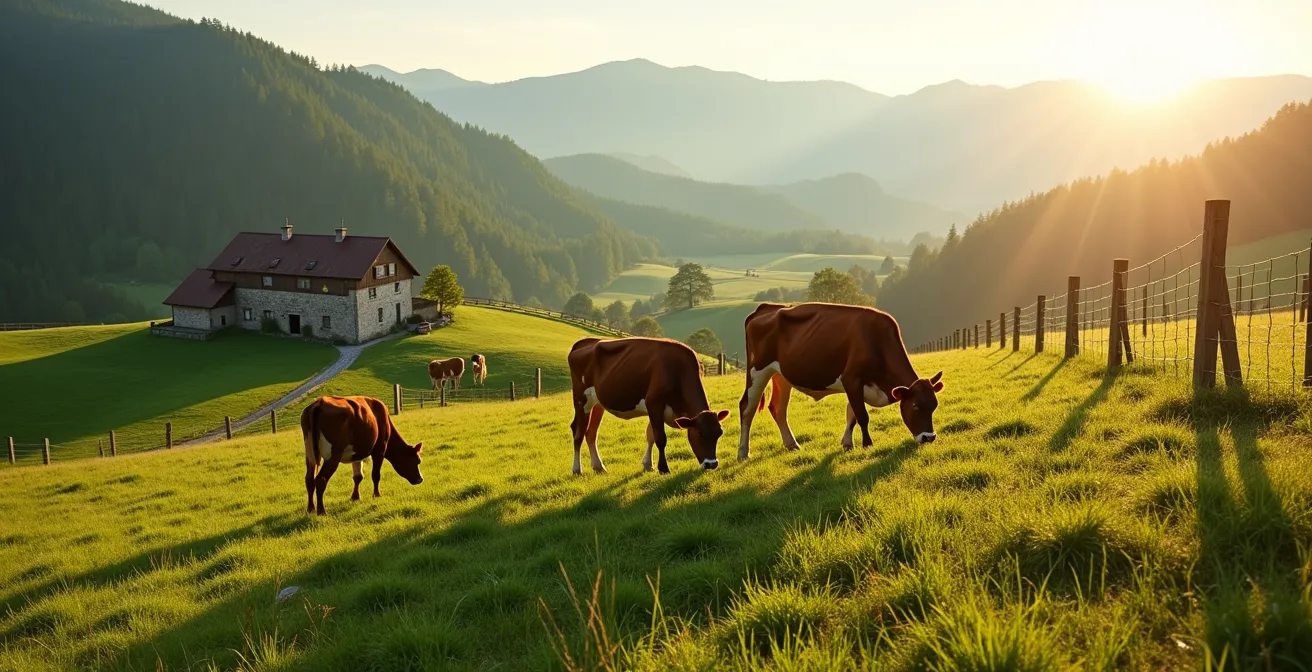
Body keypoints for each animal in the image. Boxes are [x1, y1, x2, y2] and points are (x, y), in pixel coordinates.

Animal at [568, 337, 730, 475]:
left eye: (719, 433)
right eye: (699, 434)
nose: (712, 464)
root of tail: (586, 342)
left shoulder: (657, 408)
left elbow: (650, 435)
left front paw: (648, 465)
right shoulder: (654, 403)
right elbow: (660, 438)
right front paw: (663, 469)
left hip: (597, 403)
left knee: (591, 432)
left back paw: (599, 467)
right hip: (581, 399)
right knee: (578, 432)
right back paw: (577, 469)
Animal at [738, 302, 944, 460]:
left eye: (934, 406)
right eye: (915, 406)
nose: (929, 437)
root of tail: (766, 307)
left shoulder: (857, 386)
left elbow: (851, 415)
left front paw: (847, 444)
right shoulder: (851, 378)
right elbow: (862, 416)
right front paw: (867, 445)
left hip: (781, 375)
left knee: (778, 408)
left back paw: (792, 444)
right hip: (758, 370)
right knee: (747, 408)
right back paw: (743, 453)